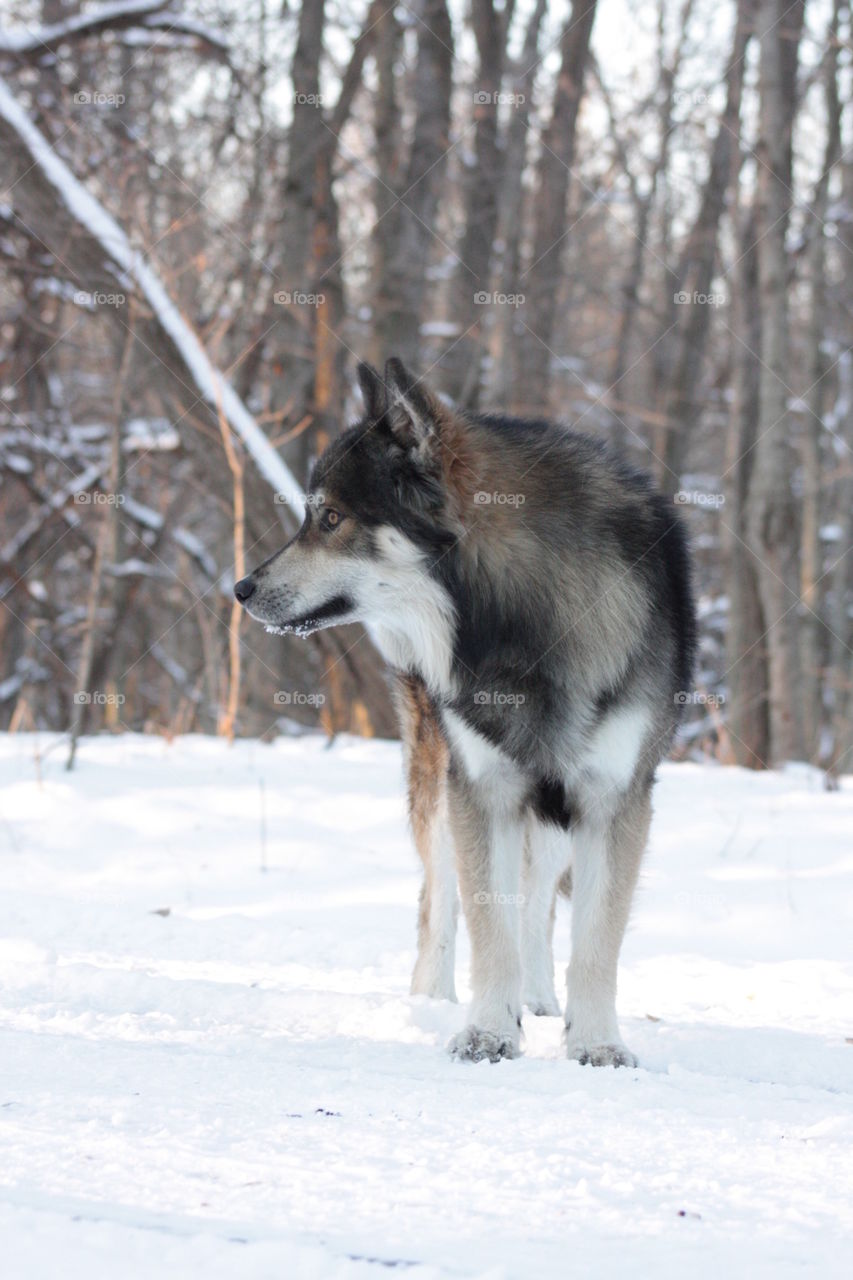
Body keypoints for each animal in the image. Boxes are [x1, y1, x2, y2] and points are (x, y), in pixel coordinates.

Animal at [235, 358, 695, 1066]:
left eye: (331, 518)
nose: (240, 589)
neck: (527, 623)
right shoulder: (482, 789)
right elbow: (487, 927)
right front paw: (487, 1033)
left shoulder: (612, 800)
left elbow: (594, 943)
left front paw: (595, 1044)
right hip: (442, 792)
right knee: (439, 901)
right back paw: (432, 1002)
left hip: (551, 819)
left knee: (537, 906)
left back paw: (540, 1000)